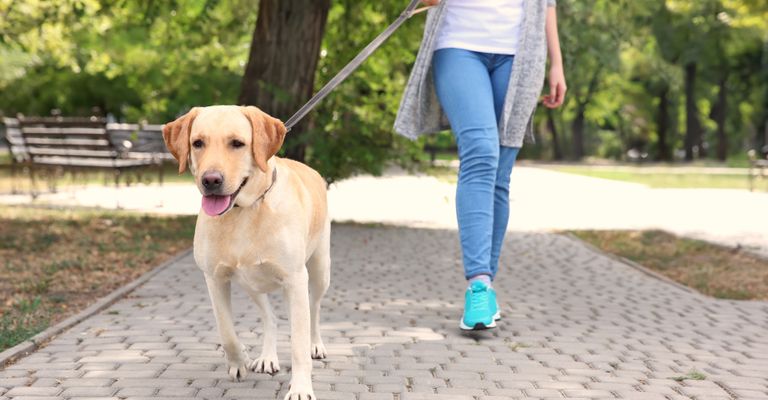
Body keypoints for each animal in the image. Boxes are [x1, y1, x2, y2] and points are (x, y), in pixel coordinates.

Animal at [162, 104, 330, 398]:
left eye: (237, 143)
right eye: (197, 143)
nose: (211, 180)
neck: (243, 211)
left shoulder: (295, 279)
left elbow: (298, 344)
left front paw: (300, 387)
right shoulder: (214, 278)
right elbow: (226, 330)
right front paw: (239, 360)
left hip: (320, 270)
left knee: (314, 308)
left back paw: (316, 344)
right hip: (251, 283)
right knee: (270, 317)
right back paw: (267, 357)